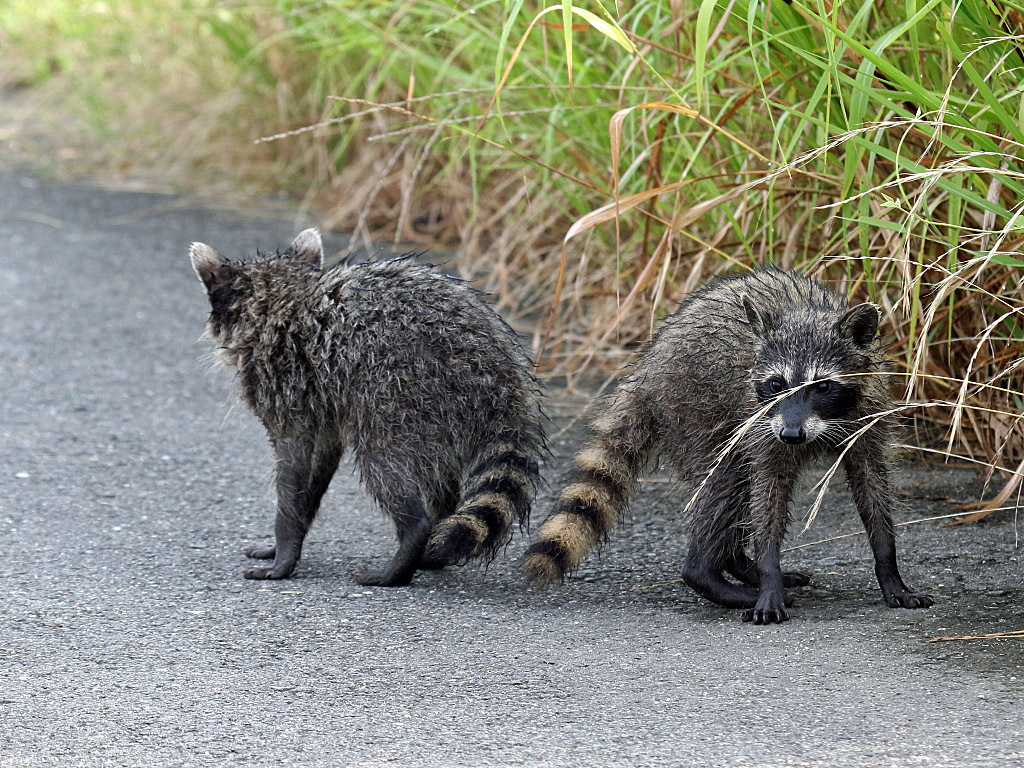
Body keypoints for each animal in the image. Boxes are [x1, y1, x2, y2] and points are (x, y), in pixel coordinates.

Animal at [189, 231, 548, 585]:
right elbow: (320, 463)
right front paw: (291, 535)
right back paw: (434, 540)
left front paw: (285, 545)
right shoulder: (323, 399)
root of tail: (497, 366)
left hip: (398, 392)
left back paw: (408, 546)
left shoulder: (286, 382)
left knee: (380, 460)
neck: (283, 297)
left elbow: (293, 465)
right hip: (434, 410)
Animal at [524, 268, 933, 626]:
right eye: (777, 384)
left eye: (822, 386)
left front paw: (889, 568)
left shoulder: (870, 415)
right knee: (729, 481)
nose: (792, 436)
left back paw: (736, 562)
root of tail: (646, 368)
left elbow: (872, 485)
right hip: (695, 411)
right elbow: (768, 493)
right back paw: (707, 572)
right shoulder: (763, 421)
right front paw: (768, 572)